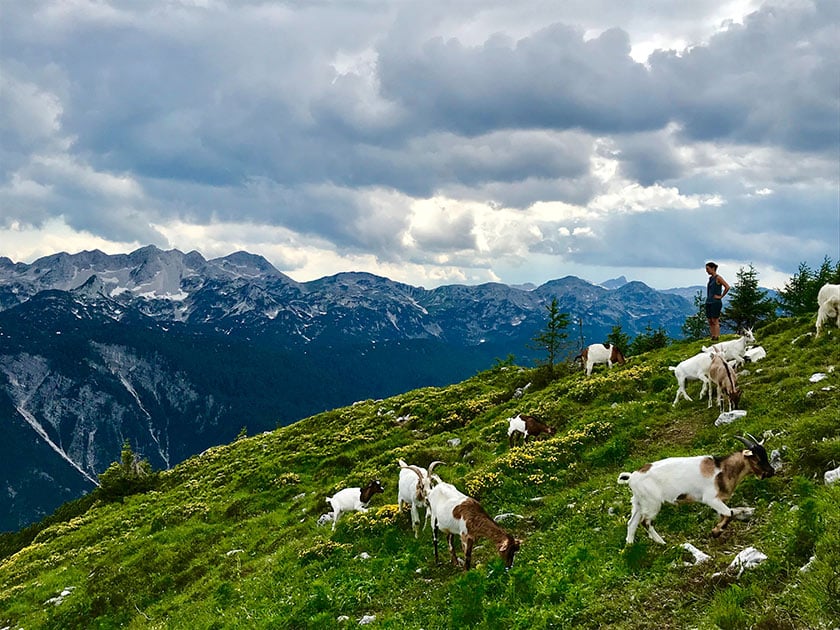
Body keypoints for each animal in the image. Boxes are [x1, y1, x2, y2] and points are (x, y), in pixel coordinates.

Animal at [616, 436, 776, 544]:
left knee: (632, 523)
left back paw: (629, 546)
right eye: (757, 459)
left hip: (638, 502)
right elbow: (728, 513)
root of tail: (632, 478)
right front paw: (715, 532)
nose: (771, 472)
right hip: (652, 503)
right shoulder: (710, 499)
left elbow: (730, 512)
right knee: (645, 522)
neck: (722, 468)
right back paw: (662, 542)